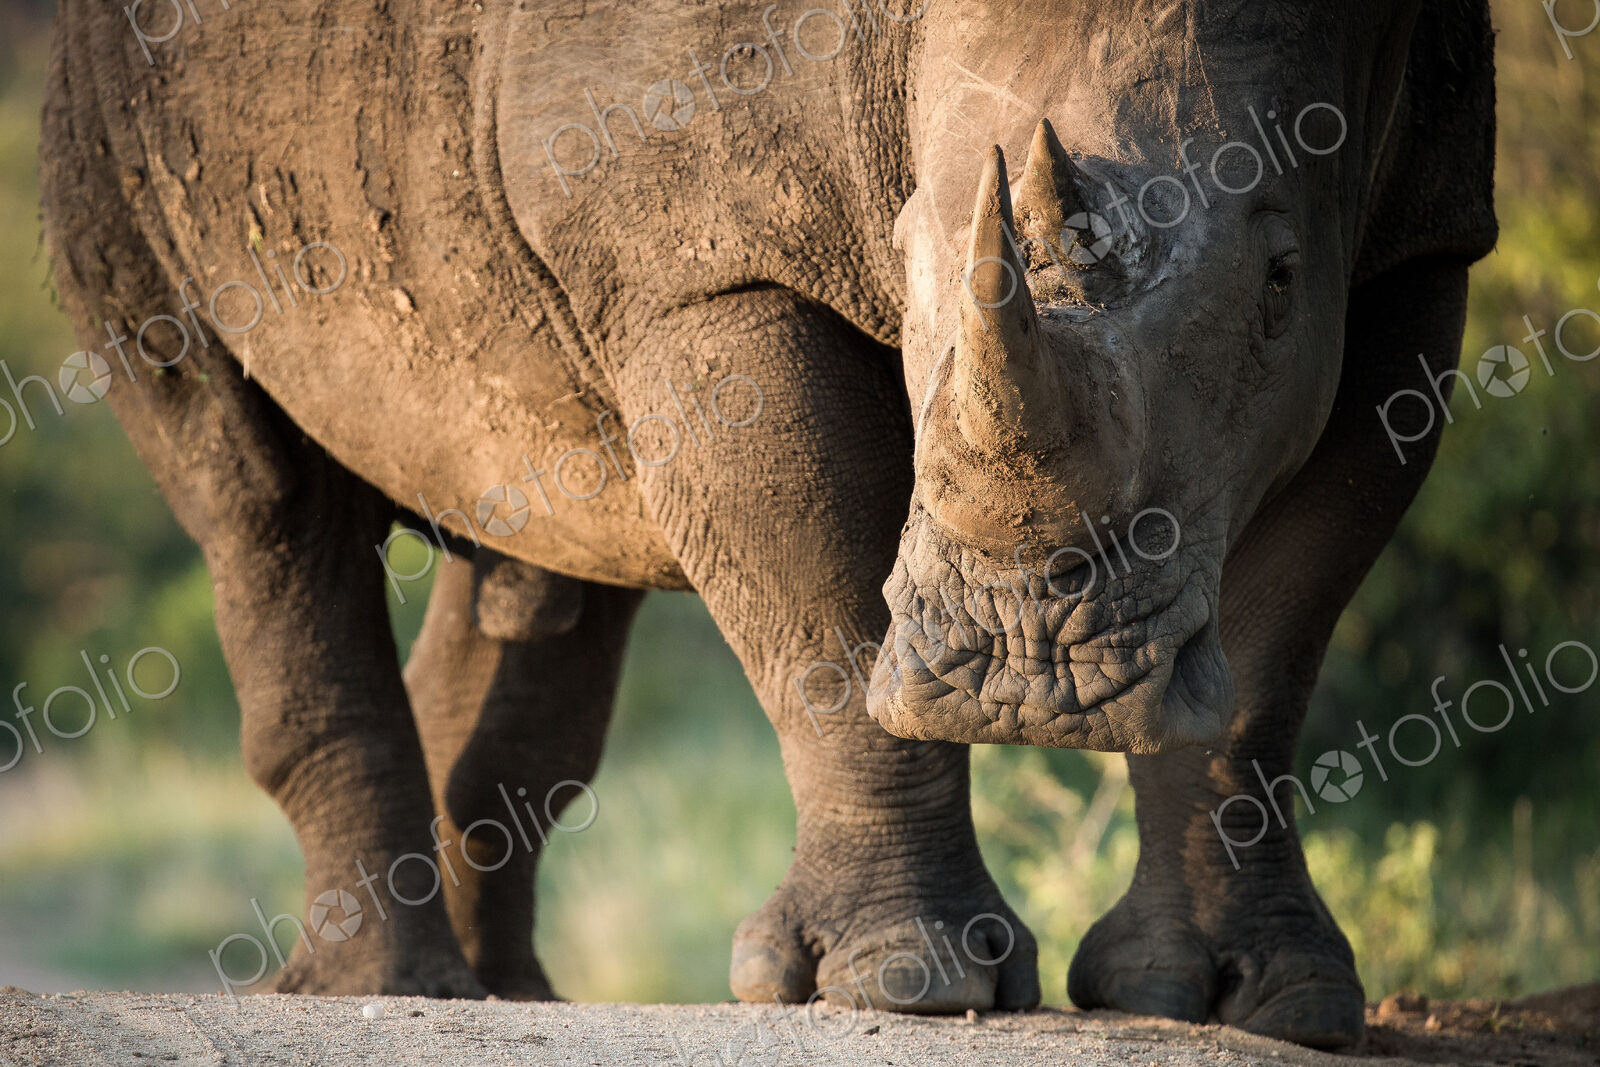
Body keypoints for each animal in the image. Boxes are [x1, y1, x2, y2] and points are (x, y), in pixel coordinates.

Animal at [38, 0, 1495, 1049]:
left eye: (1281, 279)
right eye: (906, 256)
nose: (1030, 677)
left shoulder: (1420, 233)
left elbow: (1275, 641)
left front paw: (1265, 999)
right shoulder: (702, 257)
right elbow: (819, 610)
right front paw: (906, 982)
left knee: (533, 535)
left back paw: (504, 996)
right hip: (125, 125)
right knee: (251, 481)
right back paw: (393, 990)